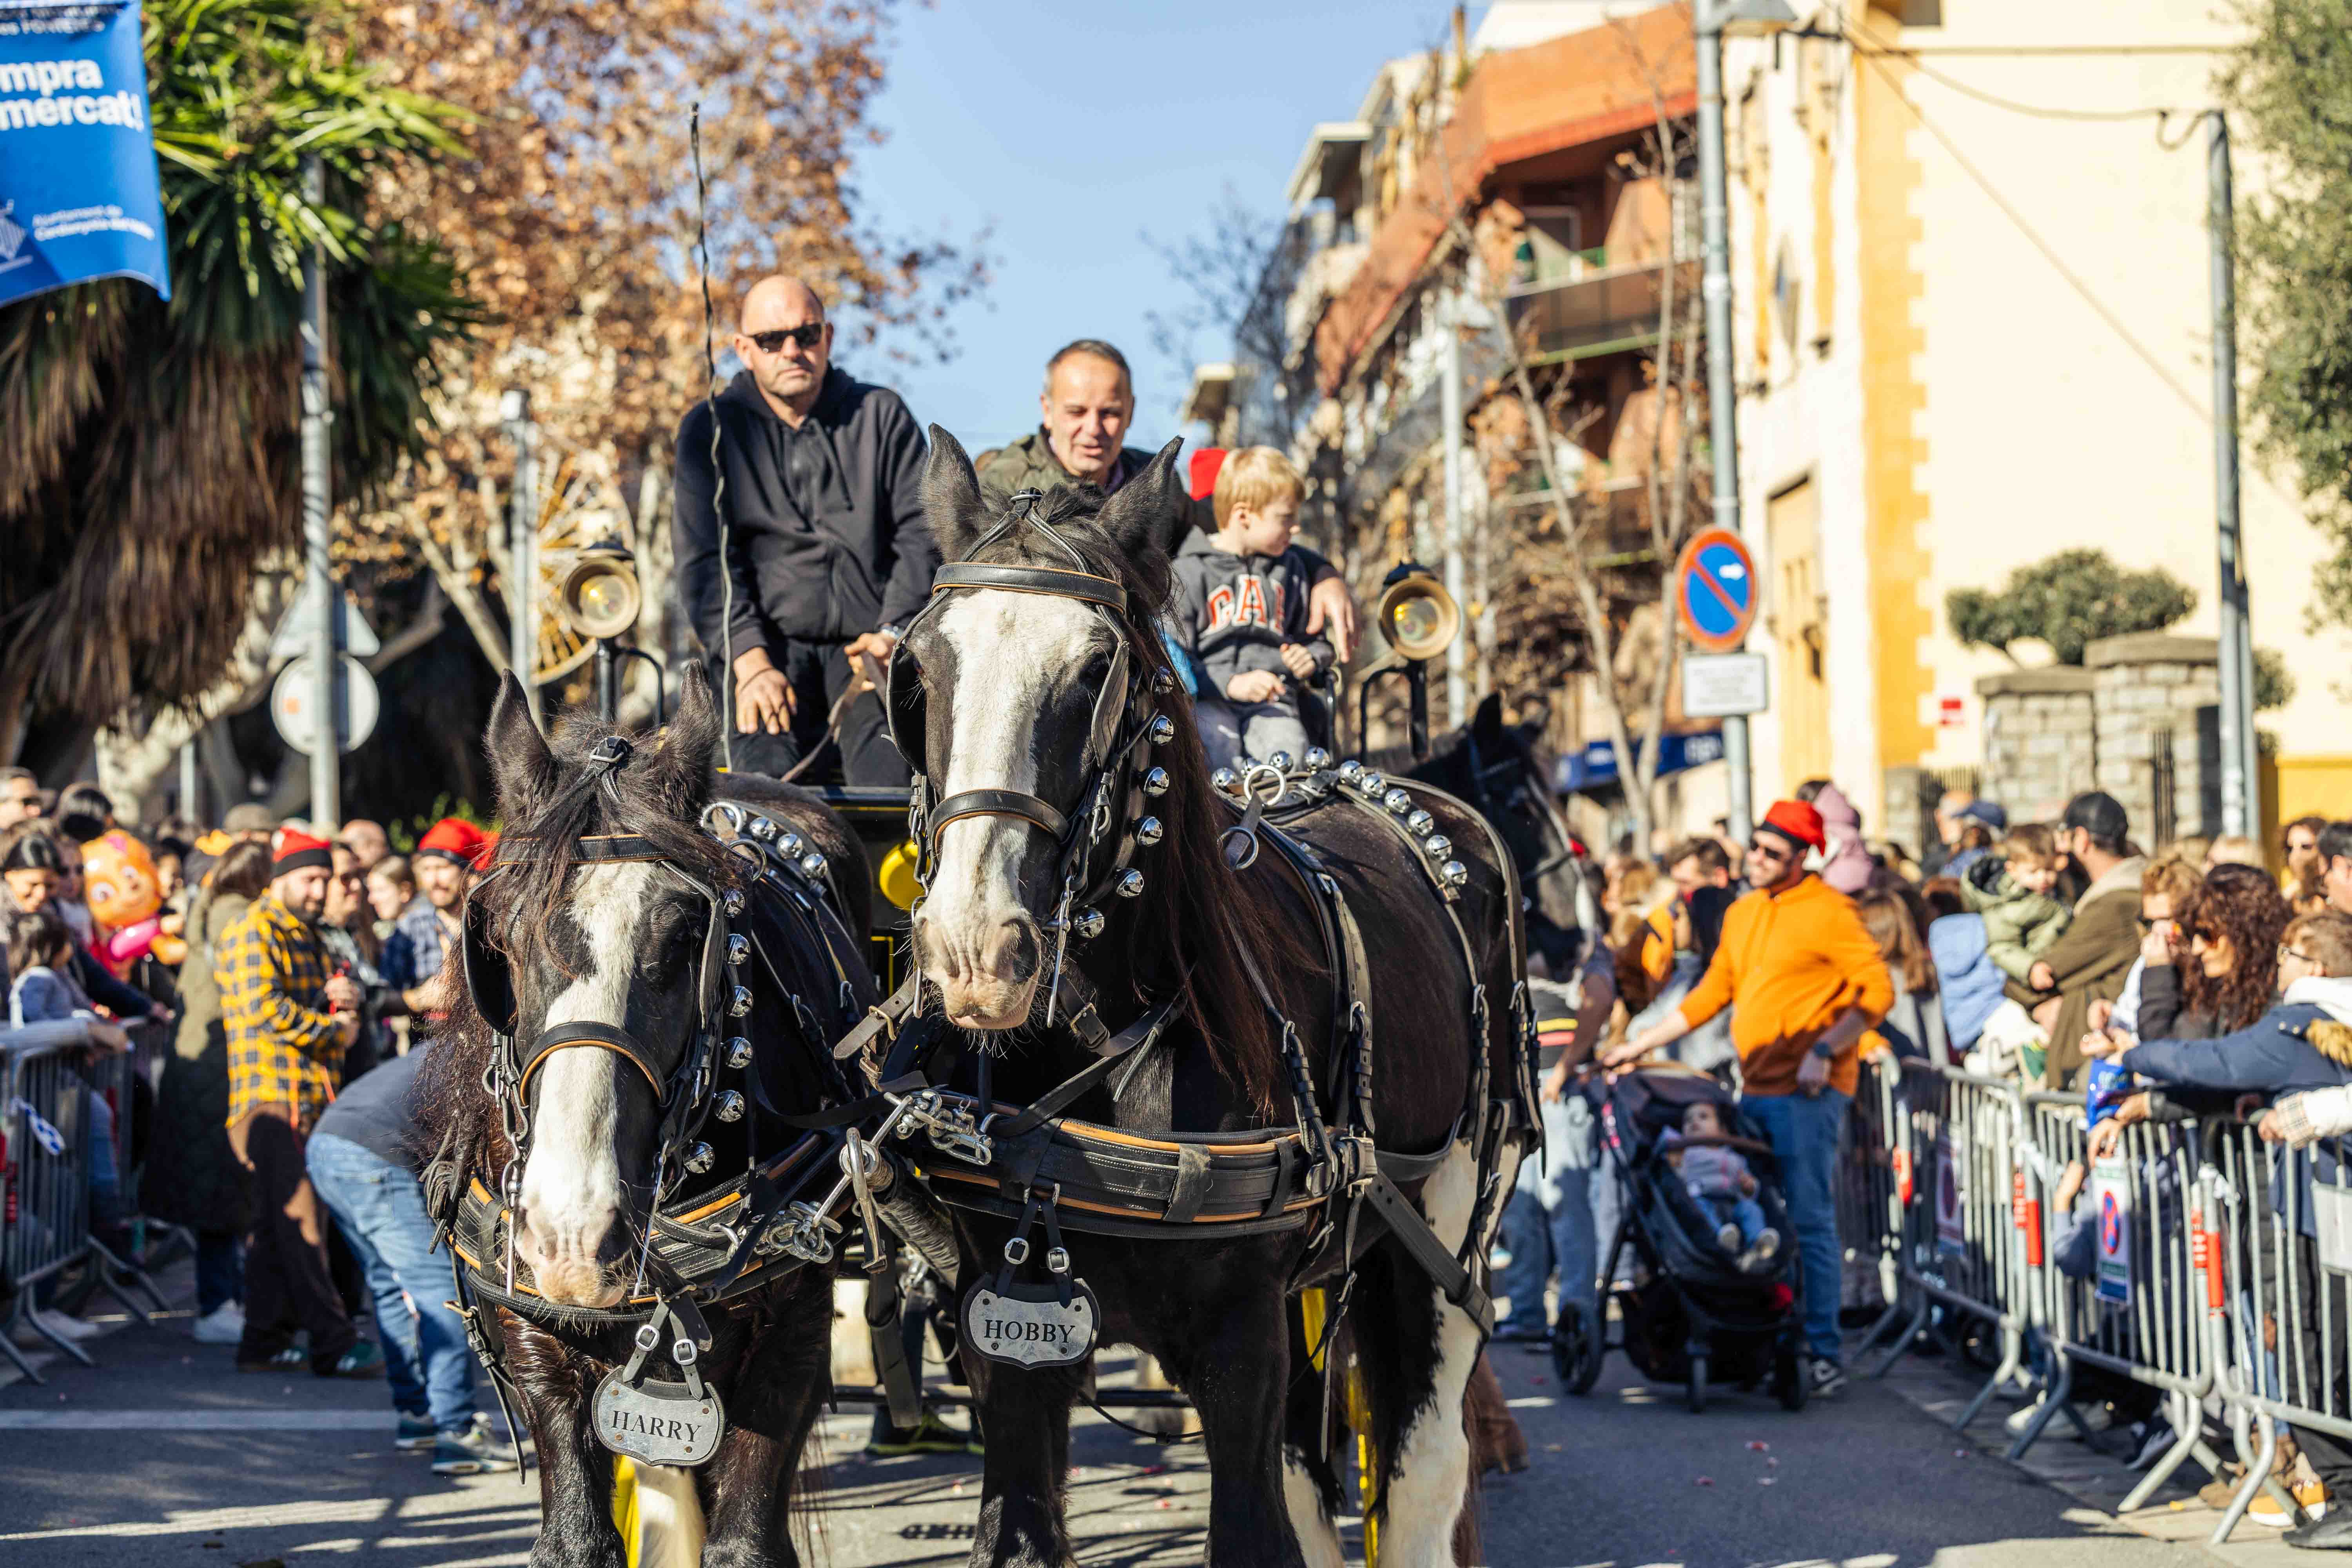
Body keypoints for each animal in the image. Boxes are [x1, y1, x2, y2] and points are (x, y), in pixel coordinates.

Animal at [416, 672, 875, 1568]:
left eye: (689, 934)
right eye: (500, 937)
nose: (571, 1234)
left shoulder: (793, 1334)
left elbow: (745, 1542)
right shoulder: (534, 1328)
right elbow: (575, 1538)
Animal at [889, 432, 1534, 1568]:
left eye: (1097, 671)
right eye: (917, 671)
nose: (975, 948)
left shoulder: (1242, 1345)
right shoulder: (1007, 1342)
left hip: (1446, 1230)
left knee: (1422, 1473)